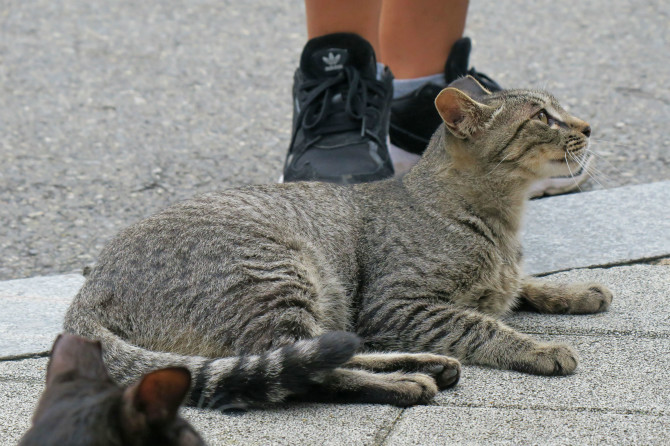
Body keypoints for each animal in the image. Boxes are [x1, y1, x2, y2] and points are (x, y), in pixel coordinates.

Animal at [63, 76, 616, 408]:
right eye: (542, 117)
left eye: (561, 109)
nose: (589, 126)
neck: (504, 222)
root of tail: (85, 292)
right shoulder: (397, 305)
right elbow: (481, 325)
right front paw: (538, 347)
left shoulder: (495, 279)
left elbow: (524, 283)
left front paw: (576, 291)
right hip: (278, 274)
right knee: (300, 369)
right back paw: (408, 380)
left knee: (320, 351)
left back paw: (427, 364)